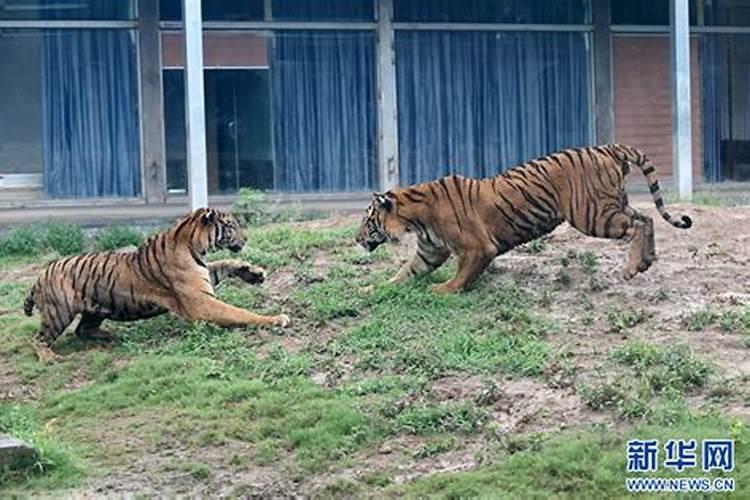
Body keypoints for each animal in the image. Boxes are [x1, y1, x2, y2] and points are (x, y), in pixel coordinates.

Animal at [25, 207, 292, 364]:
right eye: (232, 226)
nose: (246, 238)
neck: (194, 245)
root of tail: (40, 276)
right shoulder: (201, 303)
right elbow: (239, 313)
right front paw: (276, 319)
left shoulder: (204, 278)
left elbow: (224, 263)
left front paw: (254, 273)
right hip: (59, 313)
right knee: (38, 339)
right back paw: (49, 357)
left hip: (98, 307)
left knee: (83, 329)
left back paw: (112, 336)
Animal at [356, 142, 692, 292]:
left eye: (367, 221)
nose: (356, 239)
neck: (414, 219)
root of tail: (608, 148)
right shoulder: (430, 250)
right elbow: (405, 272)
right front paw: (373, 289)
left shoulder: (479, 248)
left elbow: (462, 275)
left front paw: (443, 291)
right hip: (610, 205)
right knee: (647, 218)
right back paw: (646, 261)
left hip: (592, 215)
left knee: (636, 224)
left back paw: (631, 268)